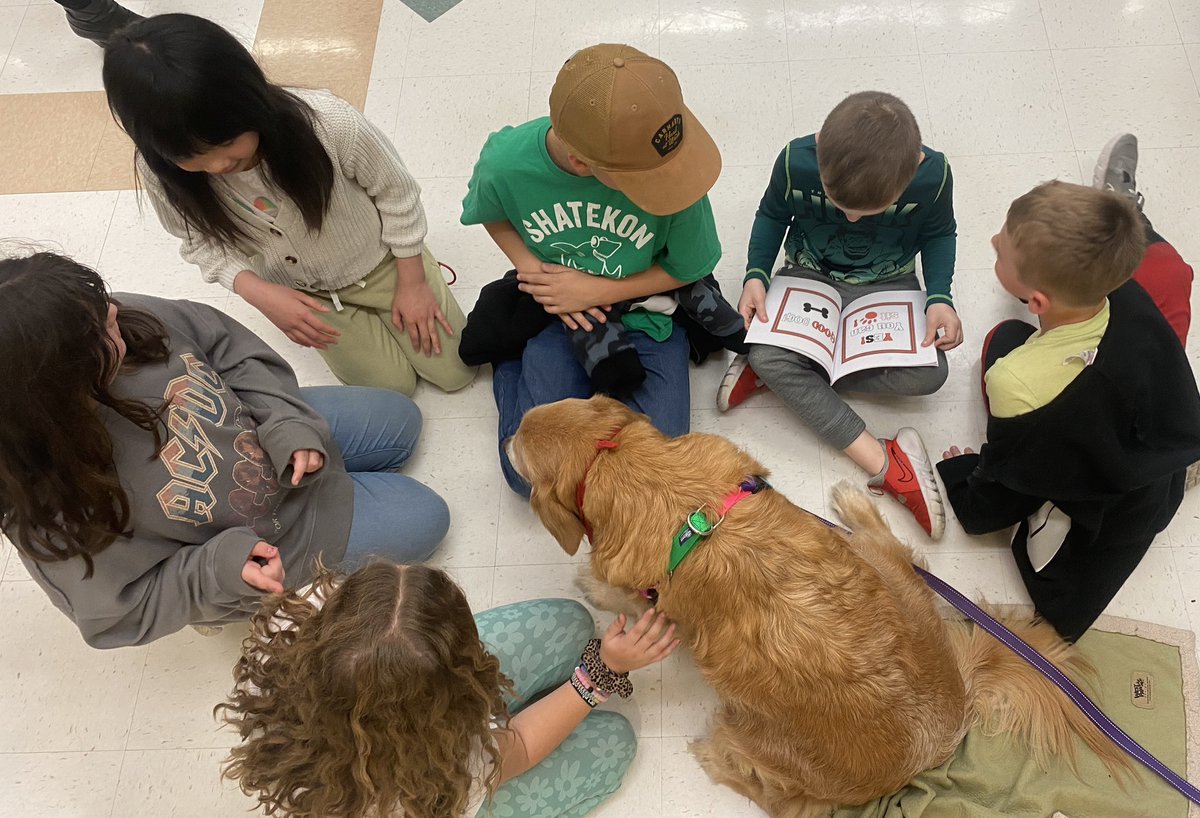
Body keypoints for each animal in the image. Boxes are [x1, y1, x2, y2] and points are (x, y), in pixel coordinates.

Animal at [511, 393, 1128, 810]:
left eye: (516, 446)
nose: (507, 433)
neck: (624, 466)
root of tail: (953, 724)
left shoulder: (652, 604)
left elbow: (618, 595)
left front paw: (590, 587)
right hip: (882, 567)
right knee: (908, 554)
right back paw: (854, 501)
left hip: (761, 741)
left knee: (775, 797)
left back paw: (713, 753)